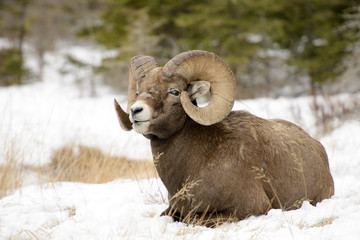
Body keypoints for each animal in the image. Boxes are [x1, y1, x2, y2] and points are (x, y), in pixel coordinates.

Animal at [114, 50, 334, 227]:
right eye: (138, 91)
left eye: (174, 91)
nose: (136, 111)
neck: (198, 161)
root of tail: (318, 147)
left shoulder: (248, 207)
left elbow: (191, 218)